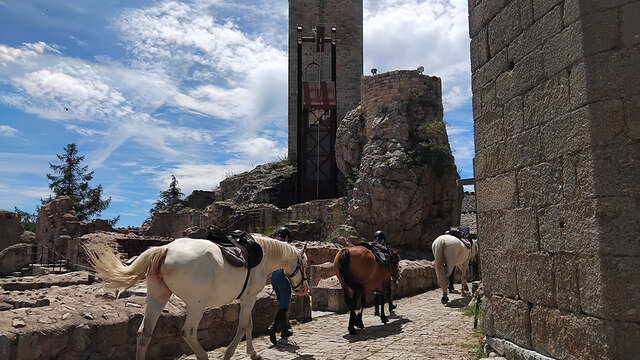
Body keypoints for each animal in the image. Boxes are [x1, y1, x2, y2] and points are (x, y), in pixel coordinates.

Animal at [85, 235, 310, 358]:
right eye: (305, 264)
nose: (304, 289)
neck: (262, 255)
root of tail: (165, 249)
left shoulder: (248, 298)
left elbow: (249, 325)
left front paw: (252, 353)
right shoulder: (249, 298)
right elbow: (244, 326)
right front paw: (230, 354)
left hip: (158, 297)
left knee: (144, 333)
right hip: (196, 305)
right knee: (188, 332)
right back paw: (204, 356)